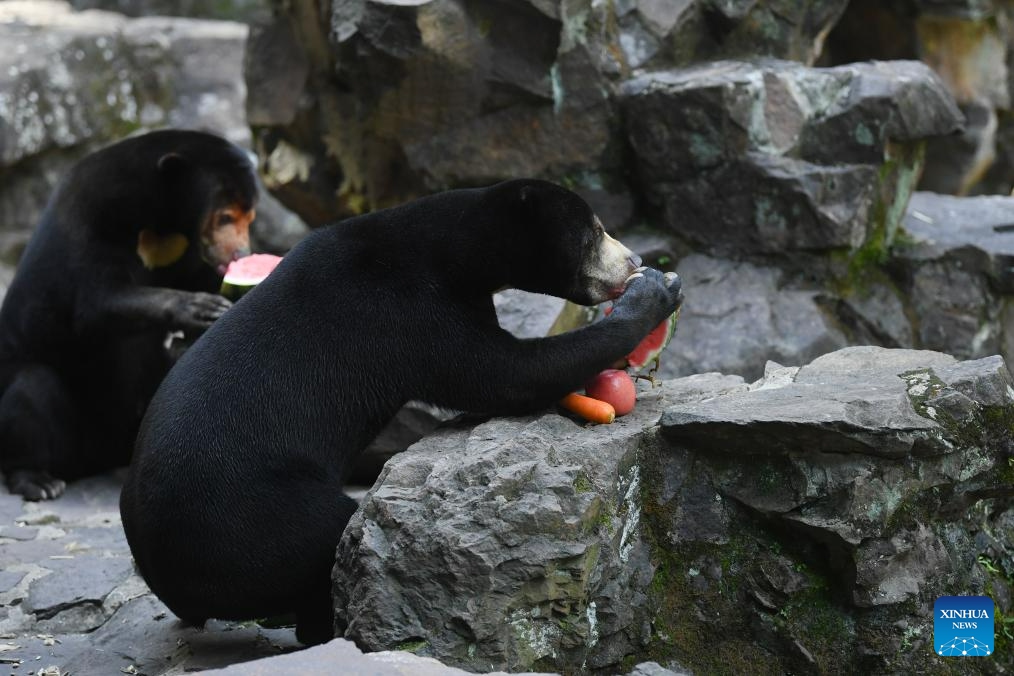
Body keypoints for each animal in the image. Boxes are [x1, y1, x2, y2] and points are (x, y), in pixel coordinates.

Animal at [0, 130, 257, 502]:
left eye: (249, 218)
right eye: (224, 217)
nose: (241, 254)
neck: (162, 223)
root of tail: (104, 454)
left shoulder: (187, 250)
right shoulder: (94, 218)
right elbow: (95, 303)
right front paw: (201, 308)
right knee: (30, 389)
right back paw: (38, 480)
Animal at [122, 178, 685, 644]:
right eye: (596, 231)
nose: (634, 258)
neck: (448, 251)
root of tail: (160, 572)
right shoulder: (403, 311)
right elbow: (502, 373)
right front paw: (657, 292)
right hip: (252, 514)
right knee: (324, 536)